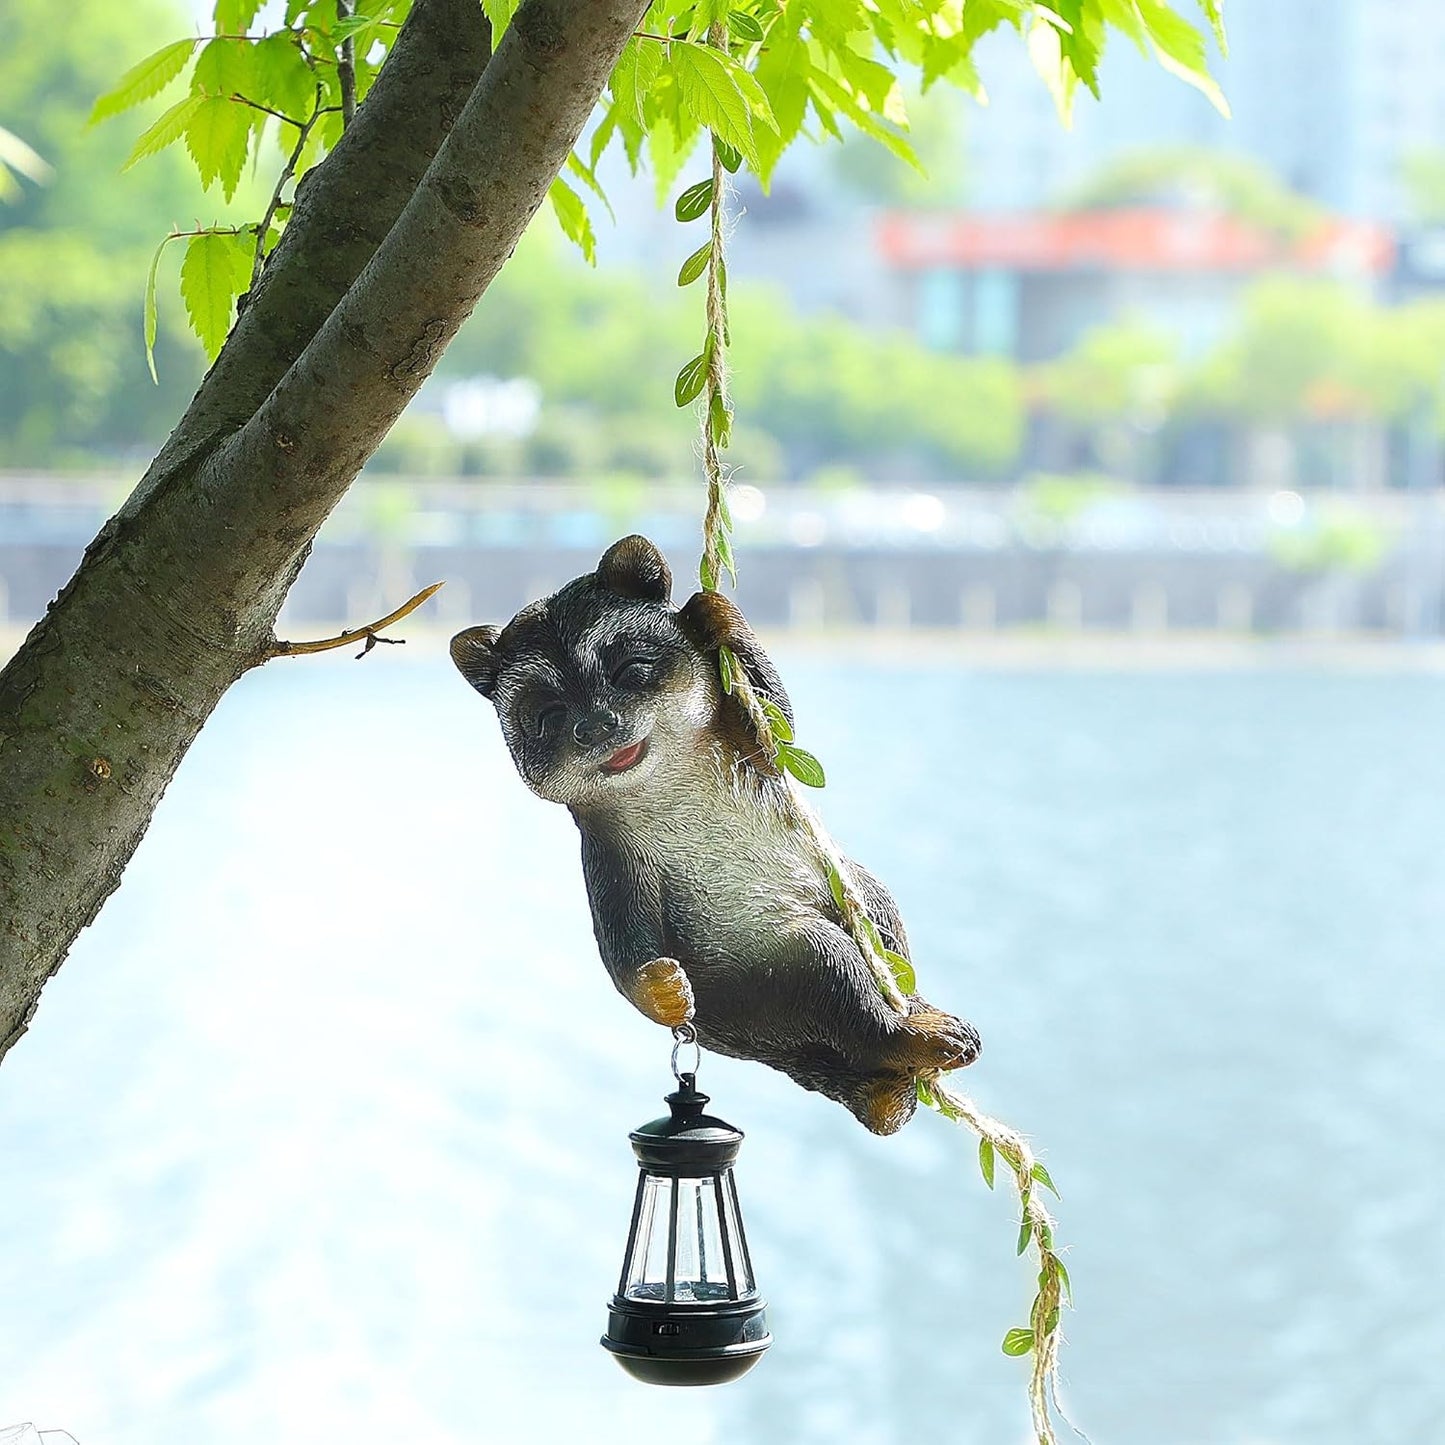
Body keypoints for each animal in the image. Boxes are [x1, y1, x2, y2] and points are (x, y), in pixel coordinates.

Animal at [450, 535, 979, 1134]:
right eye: (551, 717)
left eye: (631, 671)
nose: (596, 727)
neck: (661, 778)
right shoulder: (612, 850)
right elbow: (622, 952)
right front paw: (660, 992)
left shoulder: (744, 746)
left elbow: (778, 730)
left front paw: (715, 615)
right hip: (761, 975)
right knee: (826, 964)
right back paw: (901, 1045)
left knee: (876, 905)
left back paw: (909, 1039)